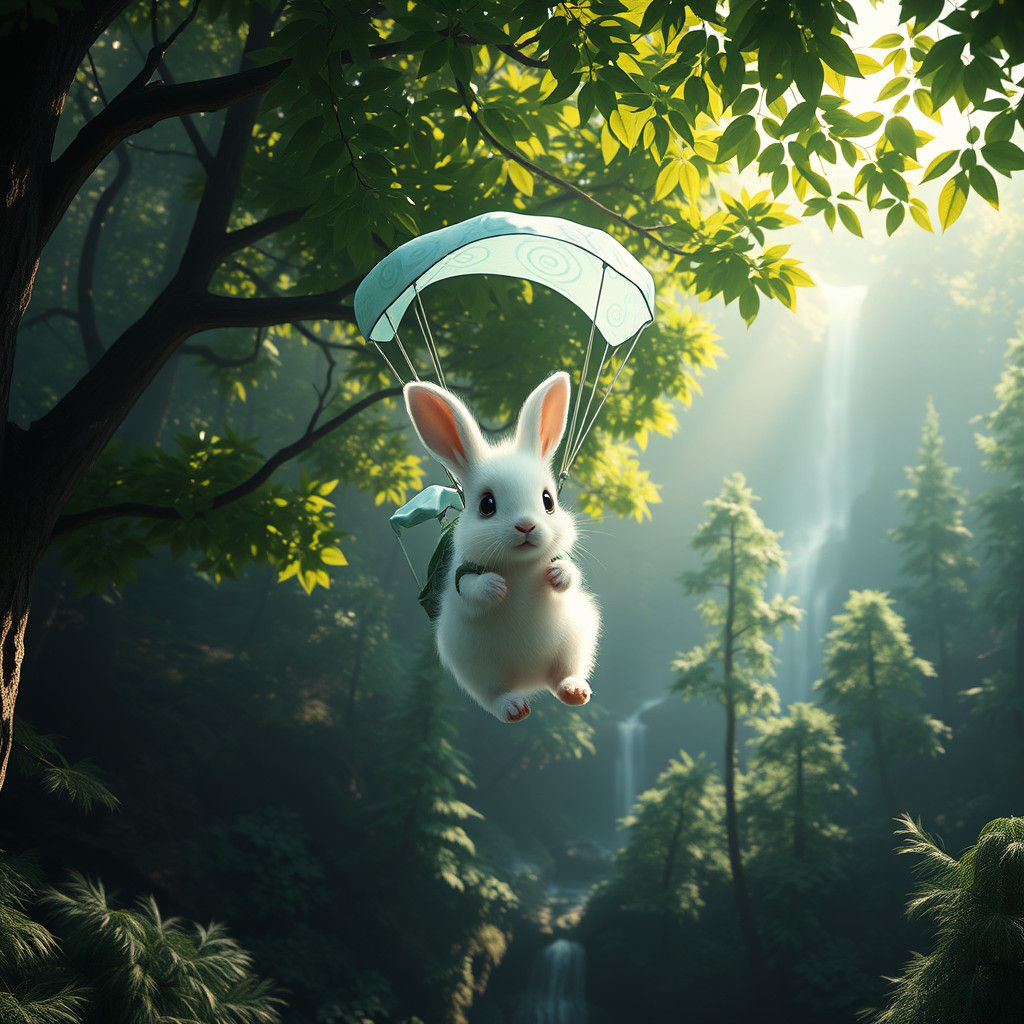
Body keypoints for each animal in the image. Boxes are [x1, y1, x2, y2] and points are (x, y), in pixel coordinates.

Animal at [404, 372, 600, 723]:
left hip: (577, 638)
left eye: (548, 501)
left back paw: (575, 691)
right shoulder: (461, 575)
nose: (526, 526)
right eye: (487, 505)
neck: (521, 566)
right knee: (493, 696)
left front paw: (557, 574)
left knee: (565, 674)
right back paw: (514, 708)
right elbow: (470, 587)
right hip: (474, 667)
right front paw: (496, 587)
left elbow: (571, 572)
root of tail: (532, 680)